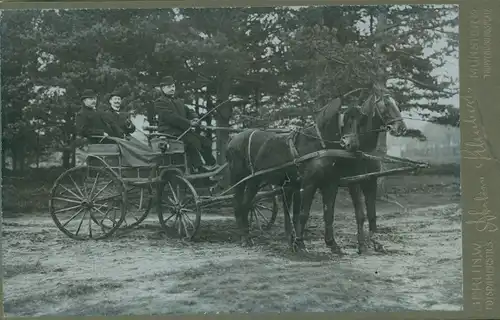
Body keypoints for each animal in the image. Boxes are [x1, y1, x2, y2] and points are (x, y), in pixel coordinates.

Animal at [227, 97, 364, 252]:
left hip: (253, 180)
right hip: (243, 179)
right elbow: (303, 214)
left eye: (361, 121)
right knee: (241, 205)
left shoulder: (330, 184)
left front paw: (332, 244)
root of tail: (233, 140)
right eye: (345, 119)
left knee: (244, 204)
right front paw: (299, 242)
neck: (320, 145)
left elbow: (328, 213)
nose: (353, 145)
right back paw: (245, 238)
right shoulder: (309, 184)